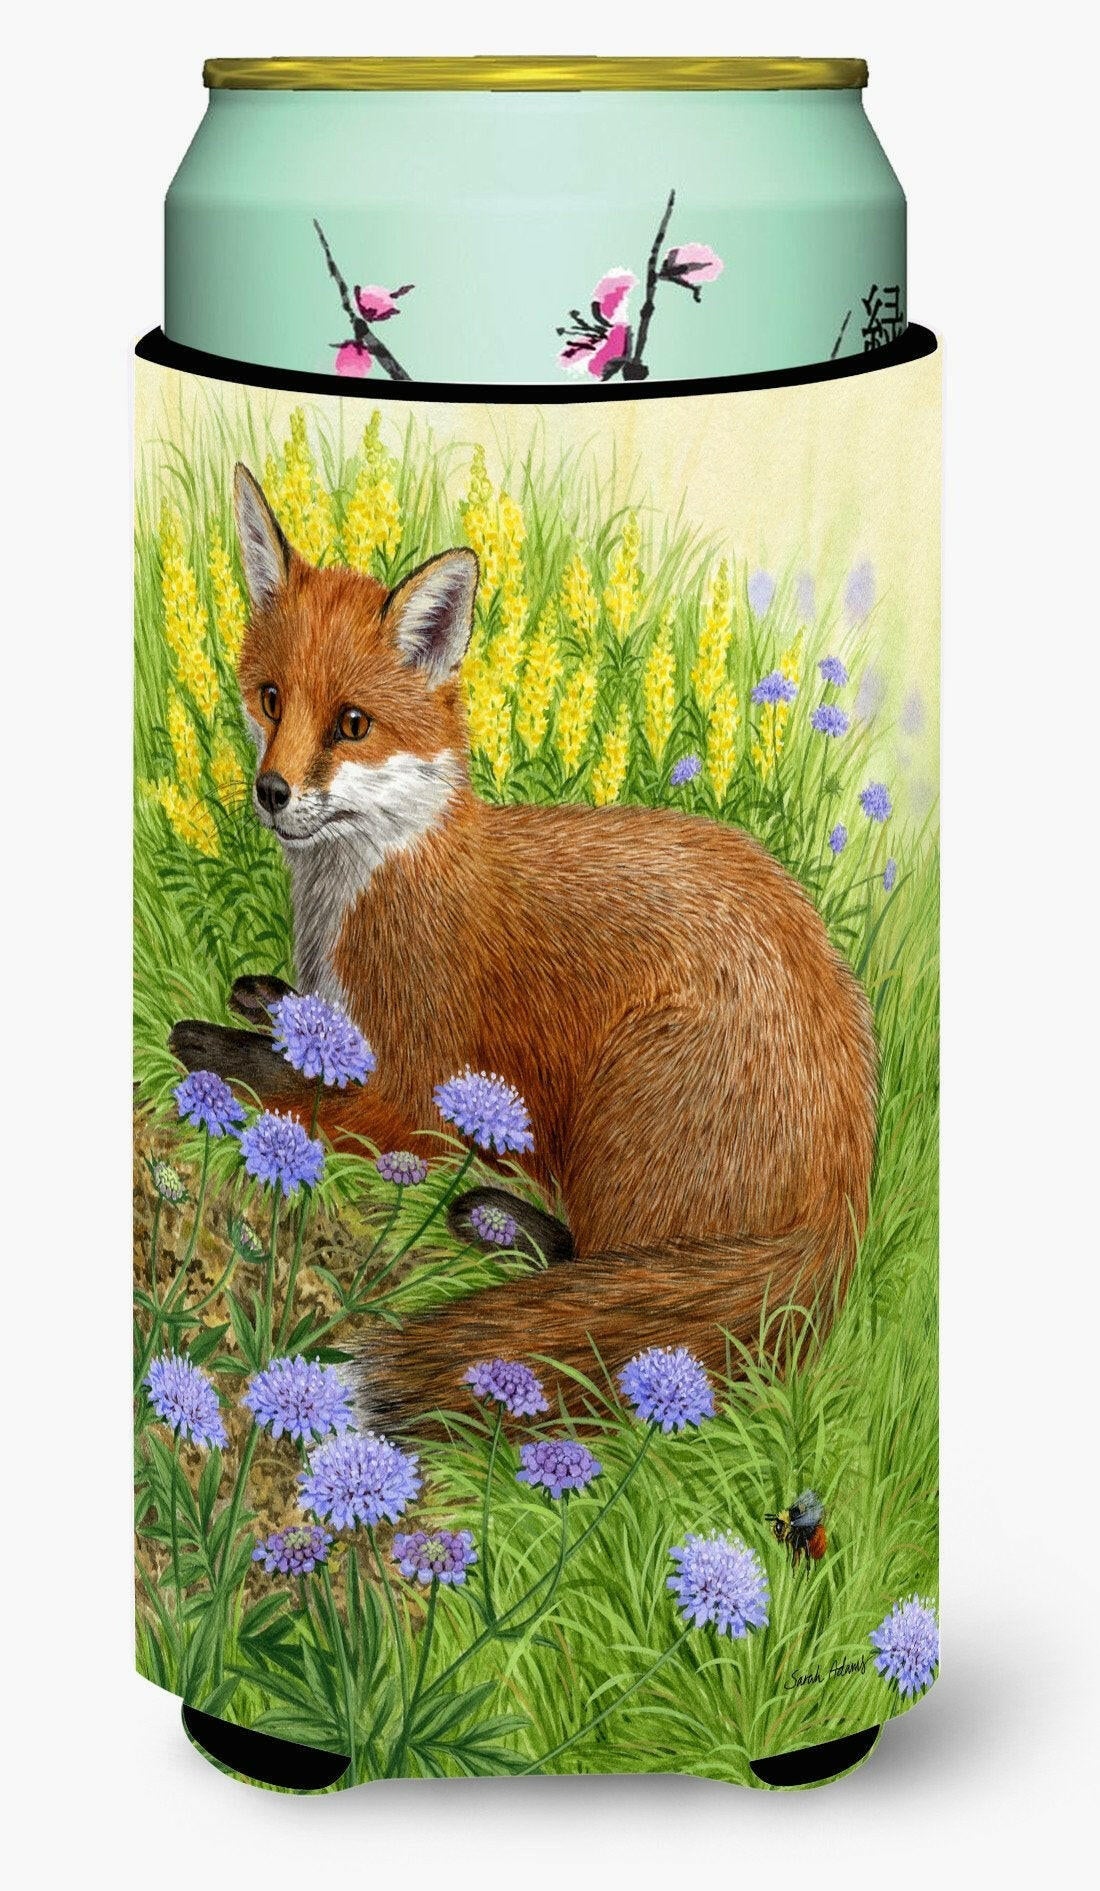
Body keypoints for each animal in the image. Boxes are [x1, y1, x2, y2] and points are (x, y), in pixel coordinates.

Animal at [172, 464, 878, 1433]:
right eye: (271, 697)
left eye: (352, 723)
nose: (271, 791)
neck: (359, 899)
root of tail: (847, 1190)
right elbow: (300, 1027)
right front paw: (267, 999)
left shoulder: (415, 1094)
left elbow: (283, 1085)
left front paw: (208, 1044)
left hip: (620, 1109)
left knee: (599, 1265)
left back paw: (499, 1218)